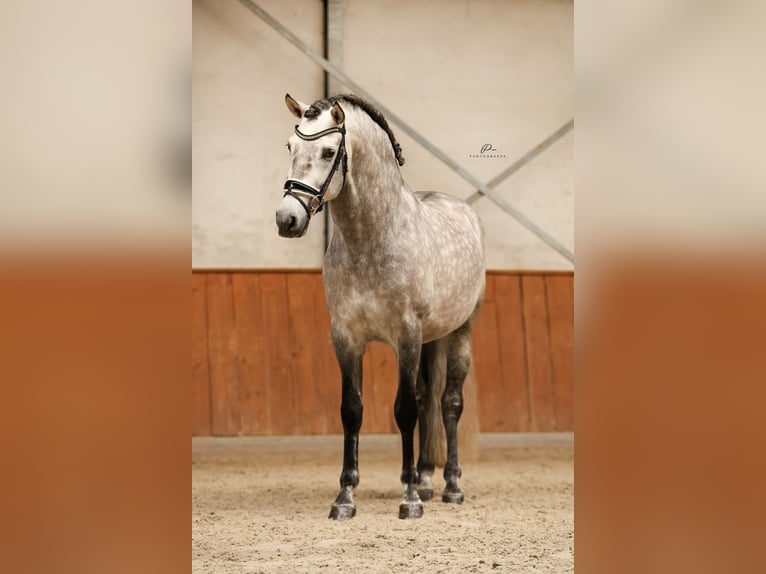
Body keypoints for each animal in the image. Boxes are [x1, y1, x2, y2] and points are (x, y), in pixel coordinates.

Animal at [274, 94, 486, 520]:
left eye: (329, 151)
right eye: (289, 147)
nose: (287, 219)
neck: (370, 240)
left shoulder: (406, 334)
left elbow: (403, 410)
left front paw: (410, 500)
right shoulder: (346, 337)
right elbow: (352, 410)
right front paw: (345, 498)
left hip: (459, 333)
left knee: (449, 403)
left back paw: (451, 486)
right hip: (429, 340)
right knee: (426, 400)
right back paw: (425, 476)